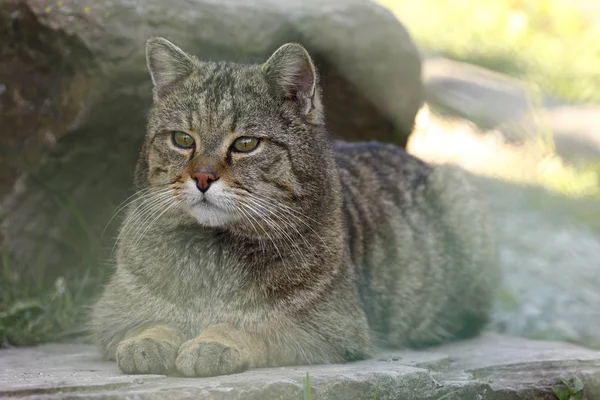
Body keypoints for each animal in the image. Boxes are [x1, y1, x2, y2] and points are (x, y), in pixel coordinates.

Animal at [92, 36, 496, 376]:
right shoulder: (111, 314)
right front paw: (149, 339)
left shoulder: (331, 327)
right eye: (181, 139)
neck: (214, 253)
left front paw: (214, 342)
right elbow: (151, 321)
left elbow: (253, 327)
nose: (202, 178)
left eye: (246, 144)